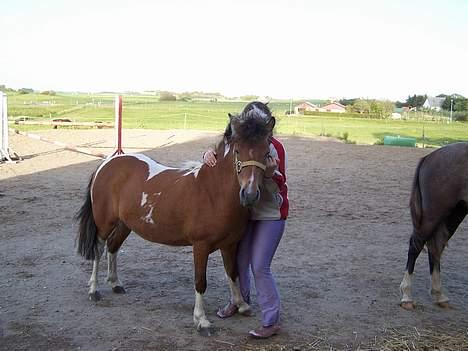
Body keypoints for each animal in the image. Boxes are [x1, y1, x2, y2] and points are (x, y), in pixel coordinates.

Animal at [76, 111, 274, 332]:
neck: (212, 192)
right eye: (238, 151)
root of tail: (108, 163)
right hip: (105, 223)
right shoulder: (200, 246)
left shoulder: (230, 245)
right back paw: (94, 290)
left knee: (113, 247)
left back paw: (116, 284)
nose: (249, 194)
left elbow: (232, 273)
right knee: (99, 248)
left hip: (125, 224)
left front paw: (241, 305)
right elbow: (200, 281)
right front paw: (201, 320)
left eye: (266, 153)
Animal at [398, 142, 468, 310]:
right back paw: (407, 296)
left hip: (456, 213)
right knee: (416, 245)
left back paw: (438, 294)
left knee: (436, 246)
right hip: (434, 213)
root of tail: (430, 156)